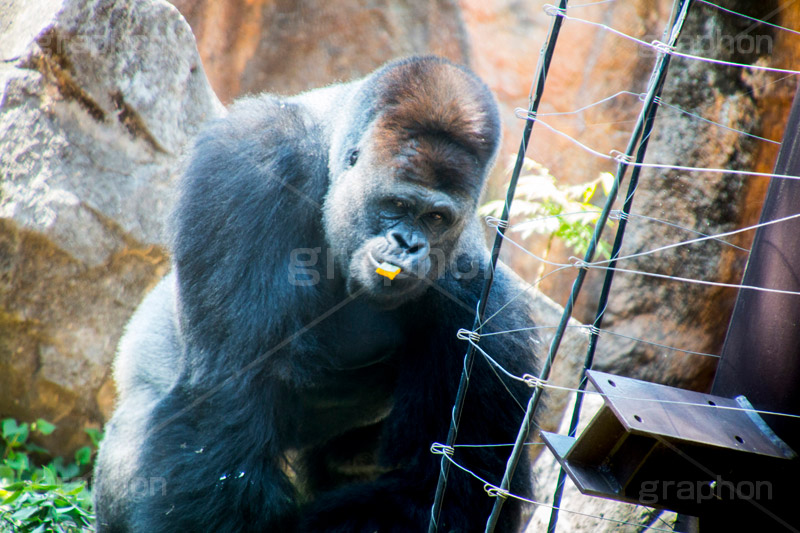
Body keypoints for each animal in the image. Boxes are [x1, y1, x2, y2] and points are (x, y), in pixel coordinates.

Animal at [95, 56, 544, 528]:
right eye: (397, 205)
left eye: (437, 218)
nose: (409, 245)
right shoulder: (249, 163)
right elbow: (224, 397)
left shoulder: (488, 321)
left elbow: (449, 492)